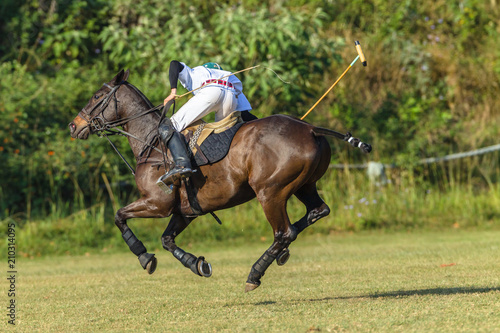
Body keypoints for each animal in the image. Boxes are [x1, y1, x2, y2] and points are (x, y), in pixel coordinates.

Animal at [68, 69, 372, 290]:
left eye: (97, 96)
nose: (74, 125)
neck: (150, 143)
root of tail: (310, 128)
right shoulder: (187, 210)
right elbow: (167, 239)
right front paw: (197, 264)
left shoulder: (157, 203)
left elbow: (119, 216)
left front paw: (144, 257)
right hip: (303, 185)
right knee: (316, 212)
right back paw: (281, 254)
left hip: (270, 192)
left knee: (284, 232)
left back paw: (254, 274)